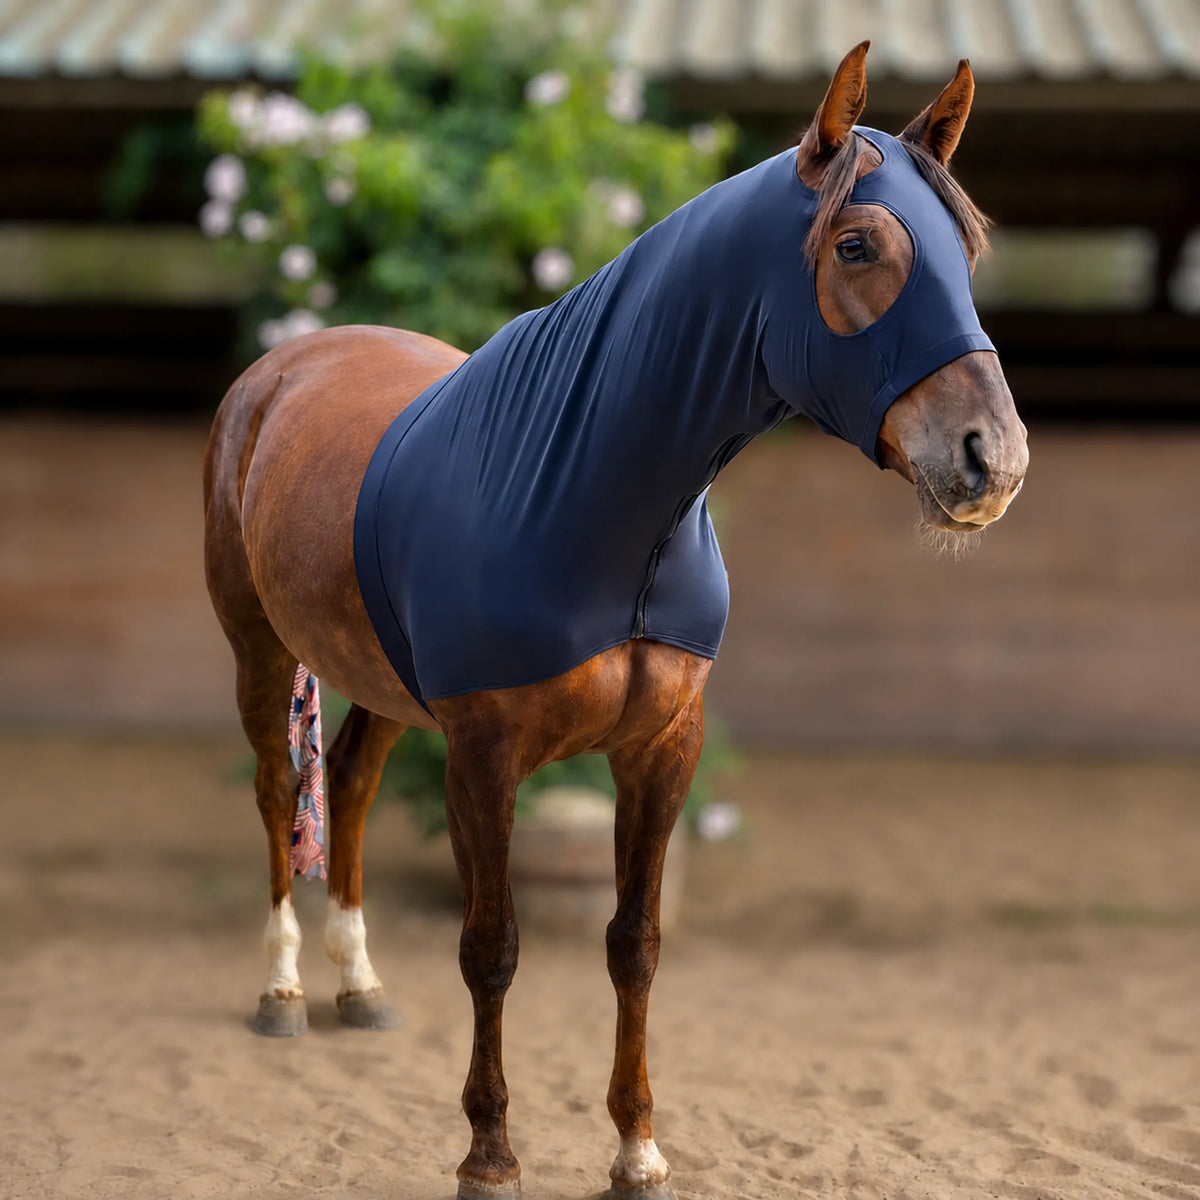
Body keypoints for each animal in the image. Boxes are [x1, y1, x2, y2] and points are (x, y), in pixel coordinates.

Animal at [204, 42, 1028, 1200]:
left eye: (967, 251)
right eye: (859, 244)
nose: (991, 458)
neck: (602, 504)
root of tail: (286, 366)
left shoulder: (660, 751)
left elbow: (634, 941)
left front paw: (638, 1149)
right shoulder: (485, 756)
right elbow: (492, 946)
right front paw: (490, 1155)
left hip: (378, 683)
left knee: (353, 787)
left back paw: (359, 988)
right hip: (260, 650)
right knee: (283, 794)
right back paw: (282, 994)